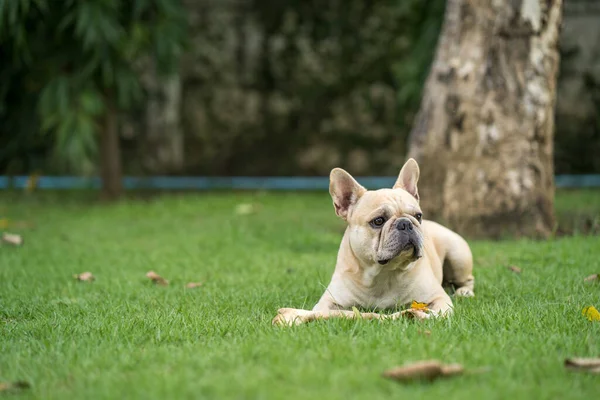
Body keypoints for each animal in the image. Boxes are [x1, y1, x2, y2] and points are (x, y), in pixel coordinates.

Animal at [272, 158, 474, 326]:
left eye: (418, 216)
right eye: (378, 221)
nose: (406, 223)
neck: (384, 273)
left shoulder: (438, 298)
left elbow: (437, 310)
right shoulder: (327, 303)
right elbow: (328, 312)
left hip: (457, 255)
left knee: (467, 280)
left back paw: (464, 292)